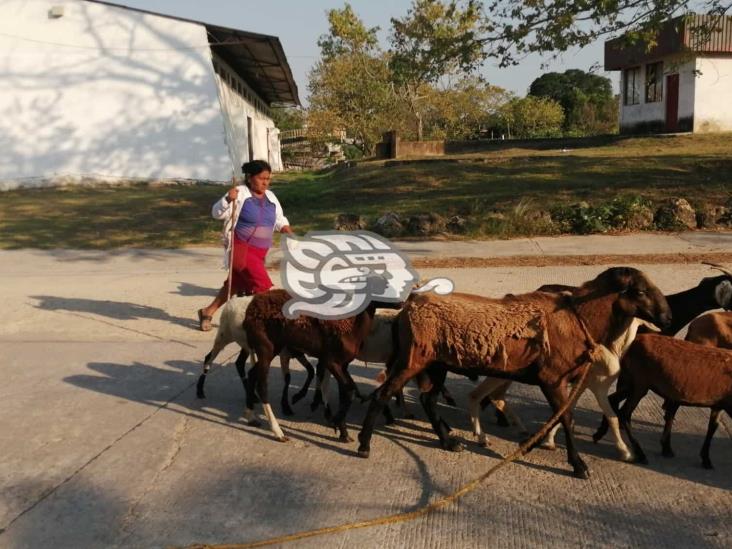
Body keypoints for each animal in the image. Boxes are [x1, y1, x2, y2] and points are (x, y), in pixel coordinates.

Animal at [354, 268, 668, 478]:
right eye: (640, 291)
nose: (668, 317)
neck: (580, 319)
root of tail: (409, 307)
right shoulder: (552, 379)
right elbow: (566, 419)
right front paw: (579, 465)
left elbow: (562, 418)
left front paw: (533, 444)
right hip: (412, 360)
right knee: (383, 395)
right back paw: (364, 445)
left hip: (435, 365)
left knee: (428, 400)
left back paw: (449, 442)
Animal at [612, 334, 732, 466]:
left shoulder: (718, 405)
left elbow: (712, 427)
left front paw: (706, 459)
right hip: (639, 382)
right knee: (624, 413)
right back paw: (641, 454)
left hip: (631, 381)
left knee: (613, 400)